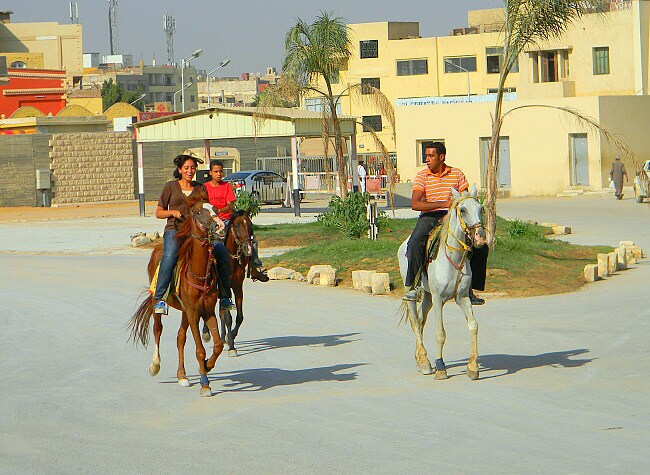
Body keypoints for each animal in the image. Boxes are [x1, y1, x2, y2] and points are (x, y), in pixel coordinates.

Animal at [128, 199, 224, 400]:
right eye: (198, 212)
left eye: (216, 209)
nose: (220, 226)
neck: (199, 273)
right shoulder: (194, 313)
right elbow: (200, 350)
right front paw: (205, 384)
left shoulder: (207, 311)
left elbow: (218, 345)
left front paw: (208, 366)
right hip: (158, 304)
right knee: (157, 330)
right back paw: (155, 365)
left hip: (185, 312)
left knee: (180, 337)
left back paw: (182, 376)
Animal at [201, 210, 254, 358]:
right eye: (236, 226)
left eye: (250, 224)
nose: (248, 248)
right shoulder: (221, 288)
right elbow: (227, 317)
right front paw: (231, 346)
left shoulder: (237, 288)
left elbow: (239, 317)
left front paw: (230, 338)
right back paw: (206, 333)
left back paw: (223, 338)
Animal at [394, 185, 486, 380]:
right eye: (463, 210)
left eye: (480, 209)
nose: (480, 236)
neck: (453, 257)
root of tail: (404, 243)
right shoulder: (438, 299)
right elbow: (440, 333)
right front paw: (441, 367)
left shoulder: (462, 297)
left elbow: (473, 326)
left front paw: (473, 367)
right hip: (412, 291)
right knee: (415, 321)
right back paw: (425, 362)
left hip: (428, 296)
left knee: (421, 321)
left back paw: (421, 360)